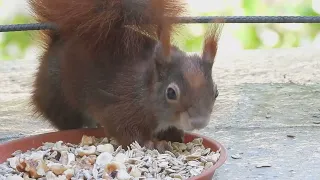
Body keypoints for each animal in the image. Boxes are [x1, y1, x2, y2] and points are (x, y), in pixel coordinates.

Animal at [29, 0, 222, 153]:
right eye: (171, 93)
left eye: (216, 92)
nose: (199, 122)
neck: (145, 85)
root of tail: (56, 43)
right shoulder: (122, 104)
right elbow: (123, 129)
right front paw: (151, 143)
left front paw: (174, 134)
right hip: (59, 99)